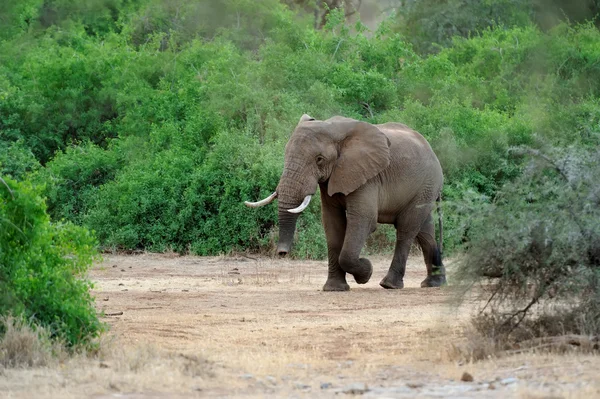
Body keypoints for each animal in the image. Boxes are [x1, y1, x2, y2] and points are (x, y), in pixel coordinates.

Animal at [244, 114, 446, 292]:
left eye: (319, 159)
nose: (282, 253)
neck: (333, 129)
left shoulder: (366, 176)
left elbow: (364, 220)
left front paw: (366, 273)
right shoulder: (331, 178)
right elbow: (332, 223)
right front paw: (334, 289)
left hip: (427, 184)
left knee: (406, 229)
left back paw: (389, 285)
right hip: (425, 190)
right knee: (424, 232)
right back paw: (434, 283)